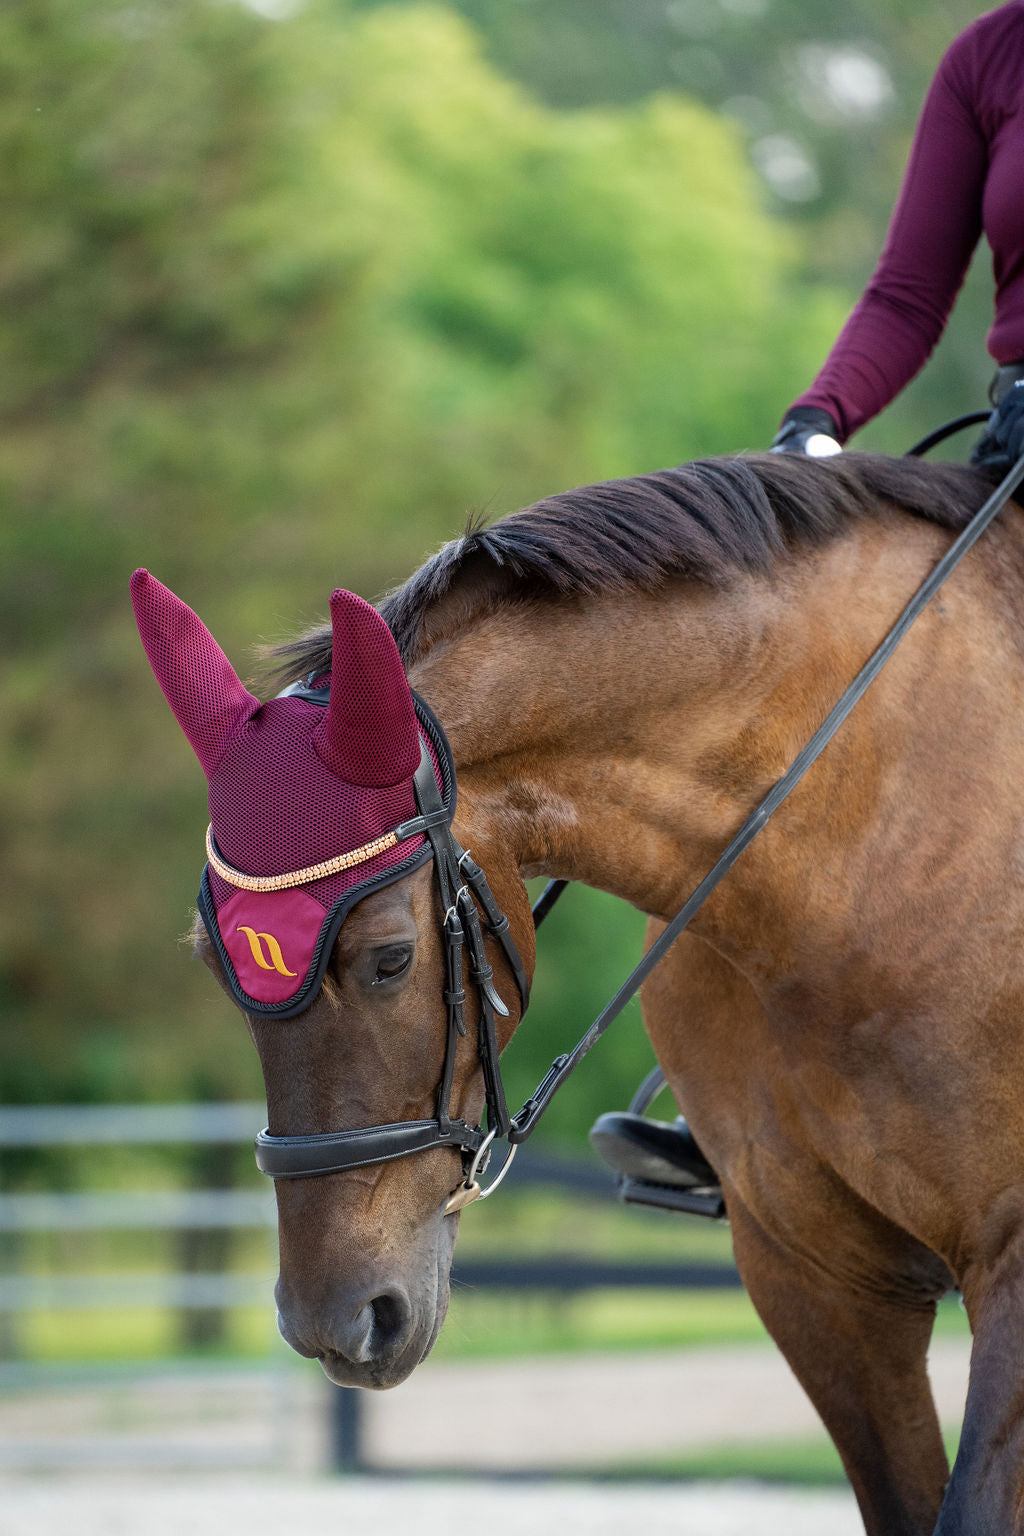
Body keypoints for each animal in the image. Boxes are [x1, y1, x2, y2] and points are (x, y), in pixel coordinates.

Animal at [135, 449, 1024, 1536]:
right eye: (216, 964)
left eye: (388, 958)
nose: (338, 1324)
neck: (860, 829)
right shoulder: (810, 1276)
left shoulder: (1014, 1259)